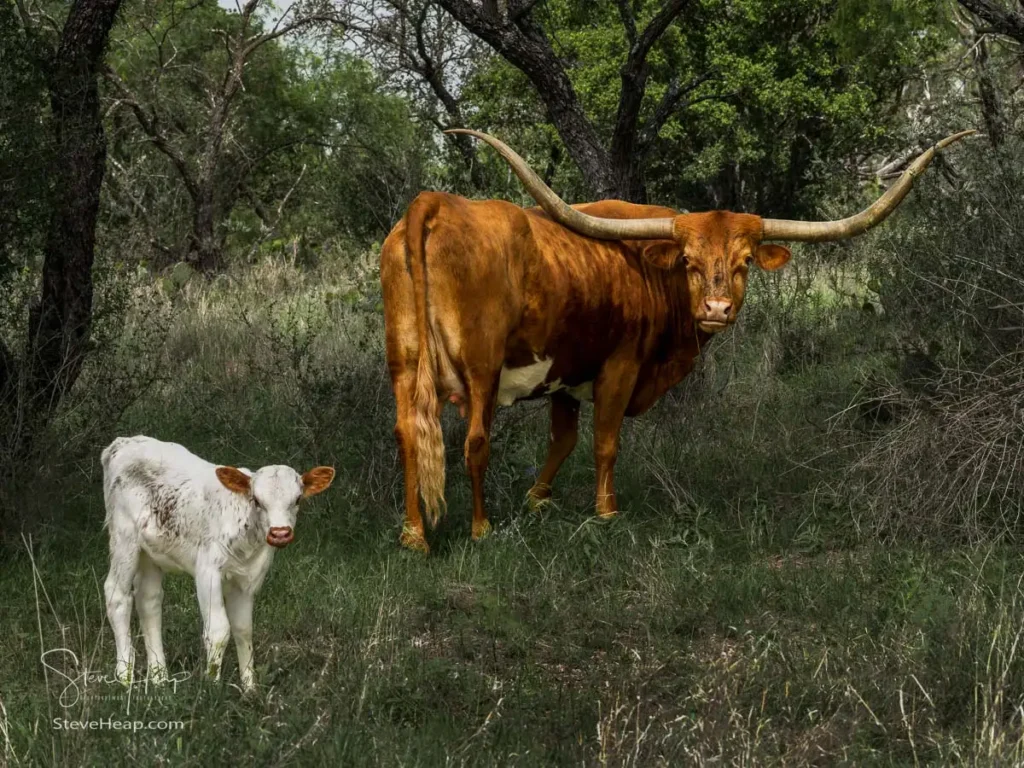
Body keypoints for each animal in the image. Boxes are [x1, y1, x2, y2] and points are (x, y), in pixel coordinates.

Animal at [101, 435, 335, 690]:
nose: (280, 533)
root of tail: (123, 442)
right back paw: (125, 676)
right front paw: (211, 686)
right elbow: (218, 630)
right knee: (117, 595)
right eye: (256, 500)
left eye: (297, 499)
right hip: (124, 537)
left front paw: (249, 687)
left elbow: (243, 628)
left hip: (151, 550)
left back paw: (160, 677)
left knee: (148, 600)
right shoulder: (207, 570)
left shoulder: (249, 577)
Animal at [381, 129, 974, 553]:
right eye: (688, 261)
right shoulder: (619, 366)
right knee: (475, 441)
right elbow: (604, 441)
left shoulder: (567, 376)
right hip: (481, 369)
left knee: (408, 433)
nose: (716, 310)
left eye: (743, 262)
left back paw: (413, 536)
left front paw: (538, 500)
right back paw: (480, 530)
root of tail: (434, 204)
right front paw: (606, 512)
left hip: (404, 364)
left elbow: (563, 440)